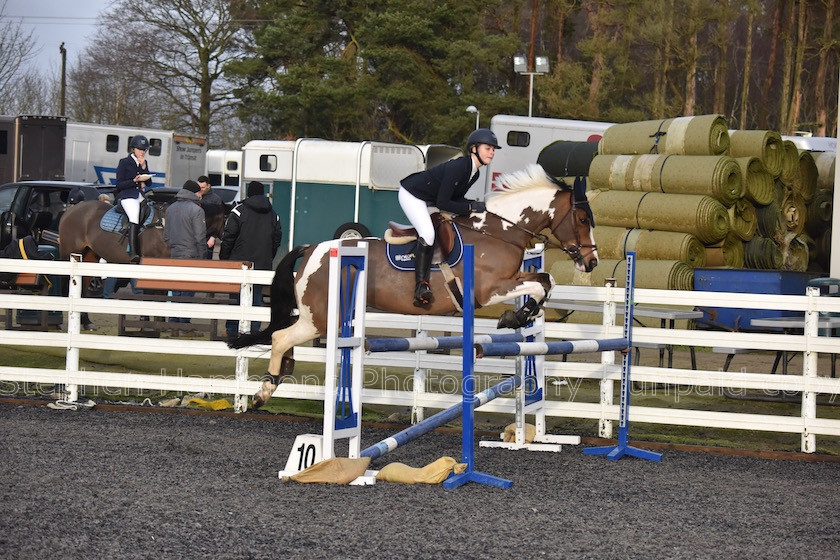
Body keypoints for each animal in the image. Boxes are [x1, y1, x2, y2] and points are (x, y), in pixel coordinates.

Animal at [230, 164, 596, 410]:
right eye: (582, 219)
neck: (498, 231)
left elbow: (545, 281)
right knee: (280, 337)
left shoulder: (511, 279)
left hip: (320, 316)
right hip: (321, 318)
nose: (591, 263)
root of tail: (311, 249)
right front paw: (514, 317)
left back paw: (280, 375)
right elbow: (538, 287)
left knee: (284, 337)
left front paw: (522, 315)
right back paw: (264, 392)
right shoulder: (489, 290)